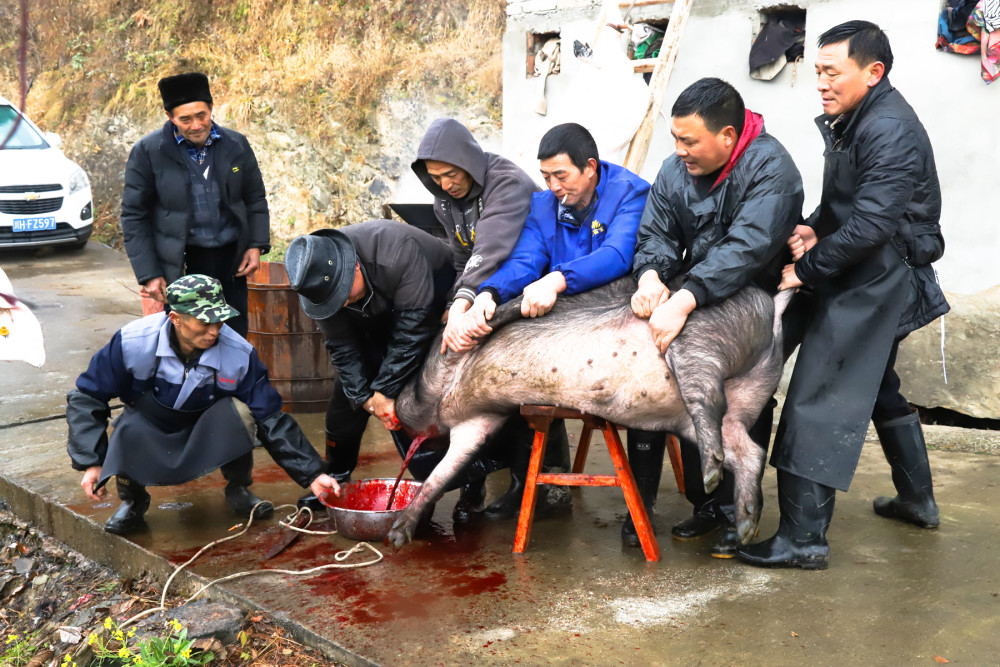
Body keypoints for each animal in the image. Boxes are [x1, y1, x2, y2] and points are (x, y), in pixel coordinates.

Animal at [390, 274, 788, 552]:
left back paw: (710, 476)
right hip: (737, 397)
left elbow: (488, 320)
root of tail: (772, 311)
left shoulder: (455, 356)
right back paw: (744, 526)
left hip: (698, 334)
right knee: (749, 449)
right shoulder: (476, 423)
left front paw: (520, 304)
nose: (397, 414)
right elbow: (441, 475)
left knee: (706, 396)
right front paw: (397, 536)